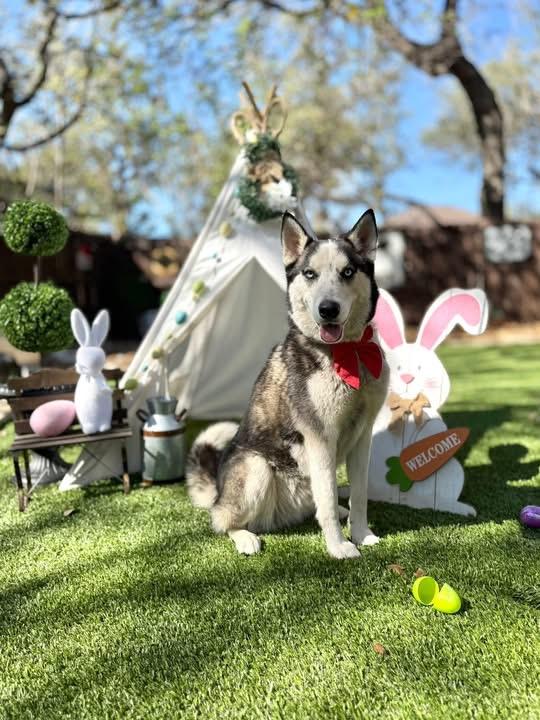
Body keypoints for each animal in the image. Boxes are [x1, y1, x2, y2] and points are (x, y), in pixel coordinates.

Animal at [187, 209, 389, 559]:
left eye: (348, 272)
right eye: (309, 274)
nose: (328, 309)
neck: (347, 352)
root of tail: (218, 491)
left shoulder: (363, 437)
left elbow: (359, 497)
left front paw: (362, 535)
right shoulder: (320, 438)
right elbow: (328, 501)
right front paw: (339, 547)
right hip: (256, 469)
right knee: (222, 521)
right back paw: (245, 537)